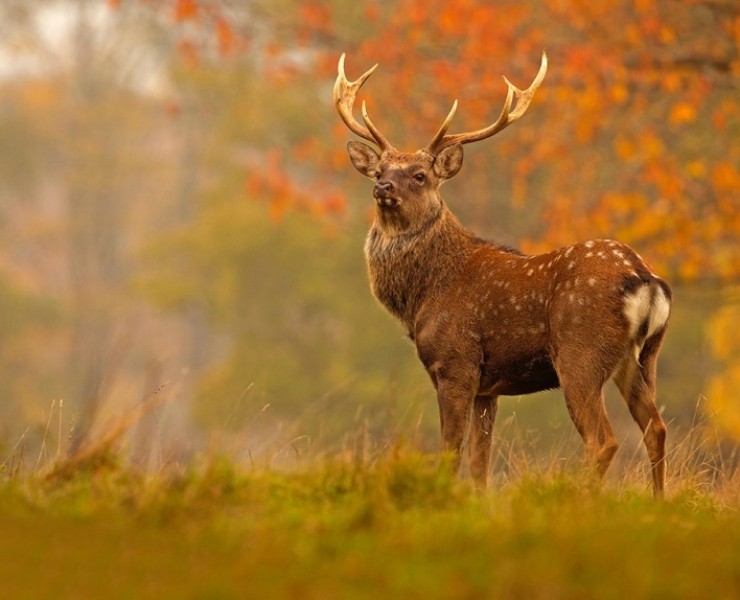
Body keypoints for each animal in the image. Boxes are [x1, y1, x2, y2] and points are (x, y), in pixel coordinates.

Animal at [333, 52, 671, 497]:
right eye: (378, 171)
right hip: (641, 358)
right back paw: (659, 501)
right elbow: (481, 463)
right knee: (656, 428)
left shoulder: (455, 363)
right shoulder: (487, 388)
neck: (423, 296)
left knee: (604, 440)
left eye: (420, 175)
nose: (383, 187)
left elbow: (451, 453)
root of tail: (646, 279)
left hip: (580, 354)